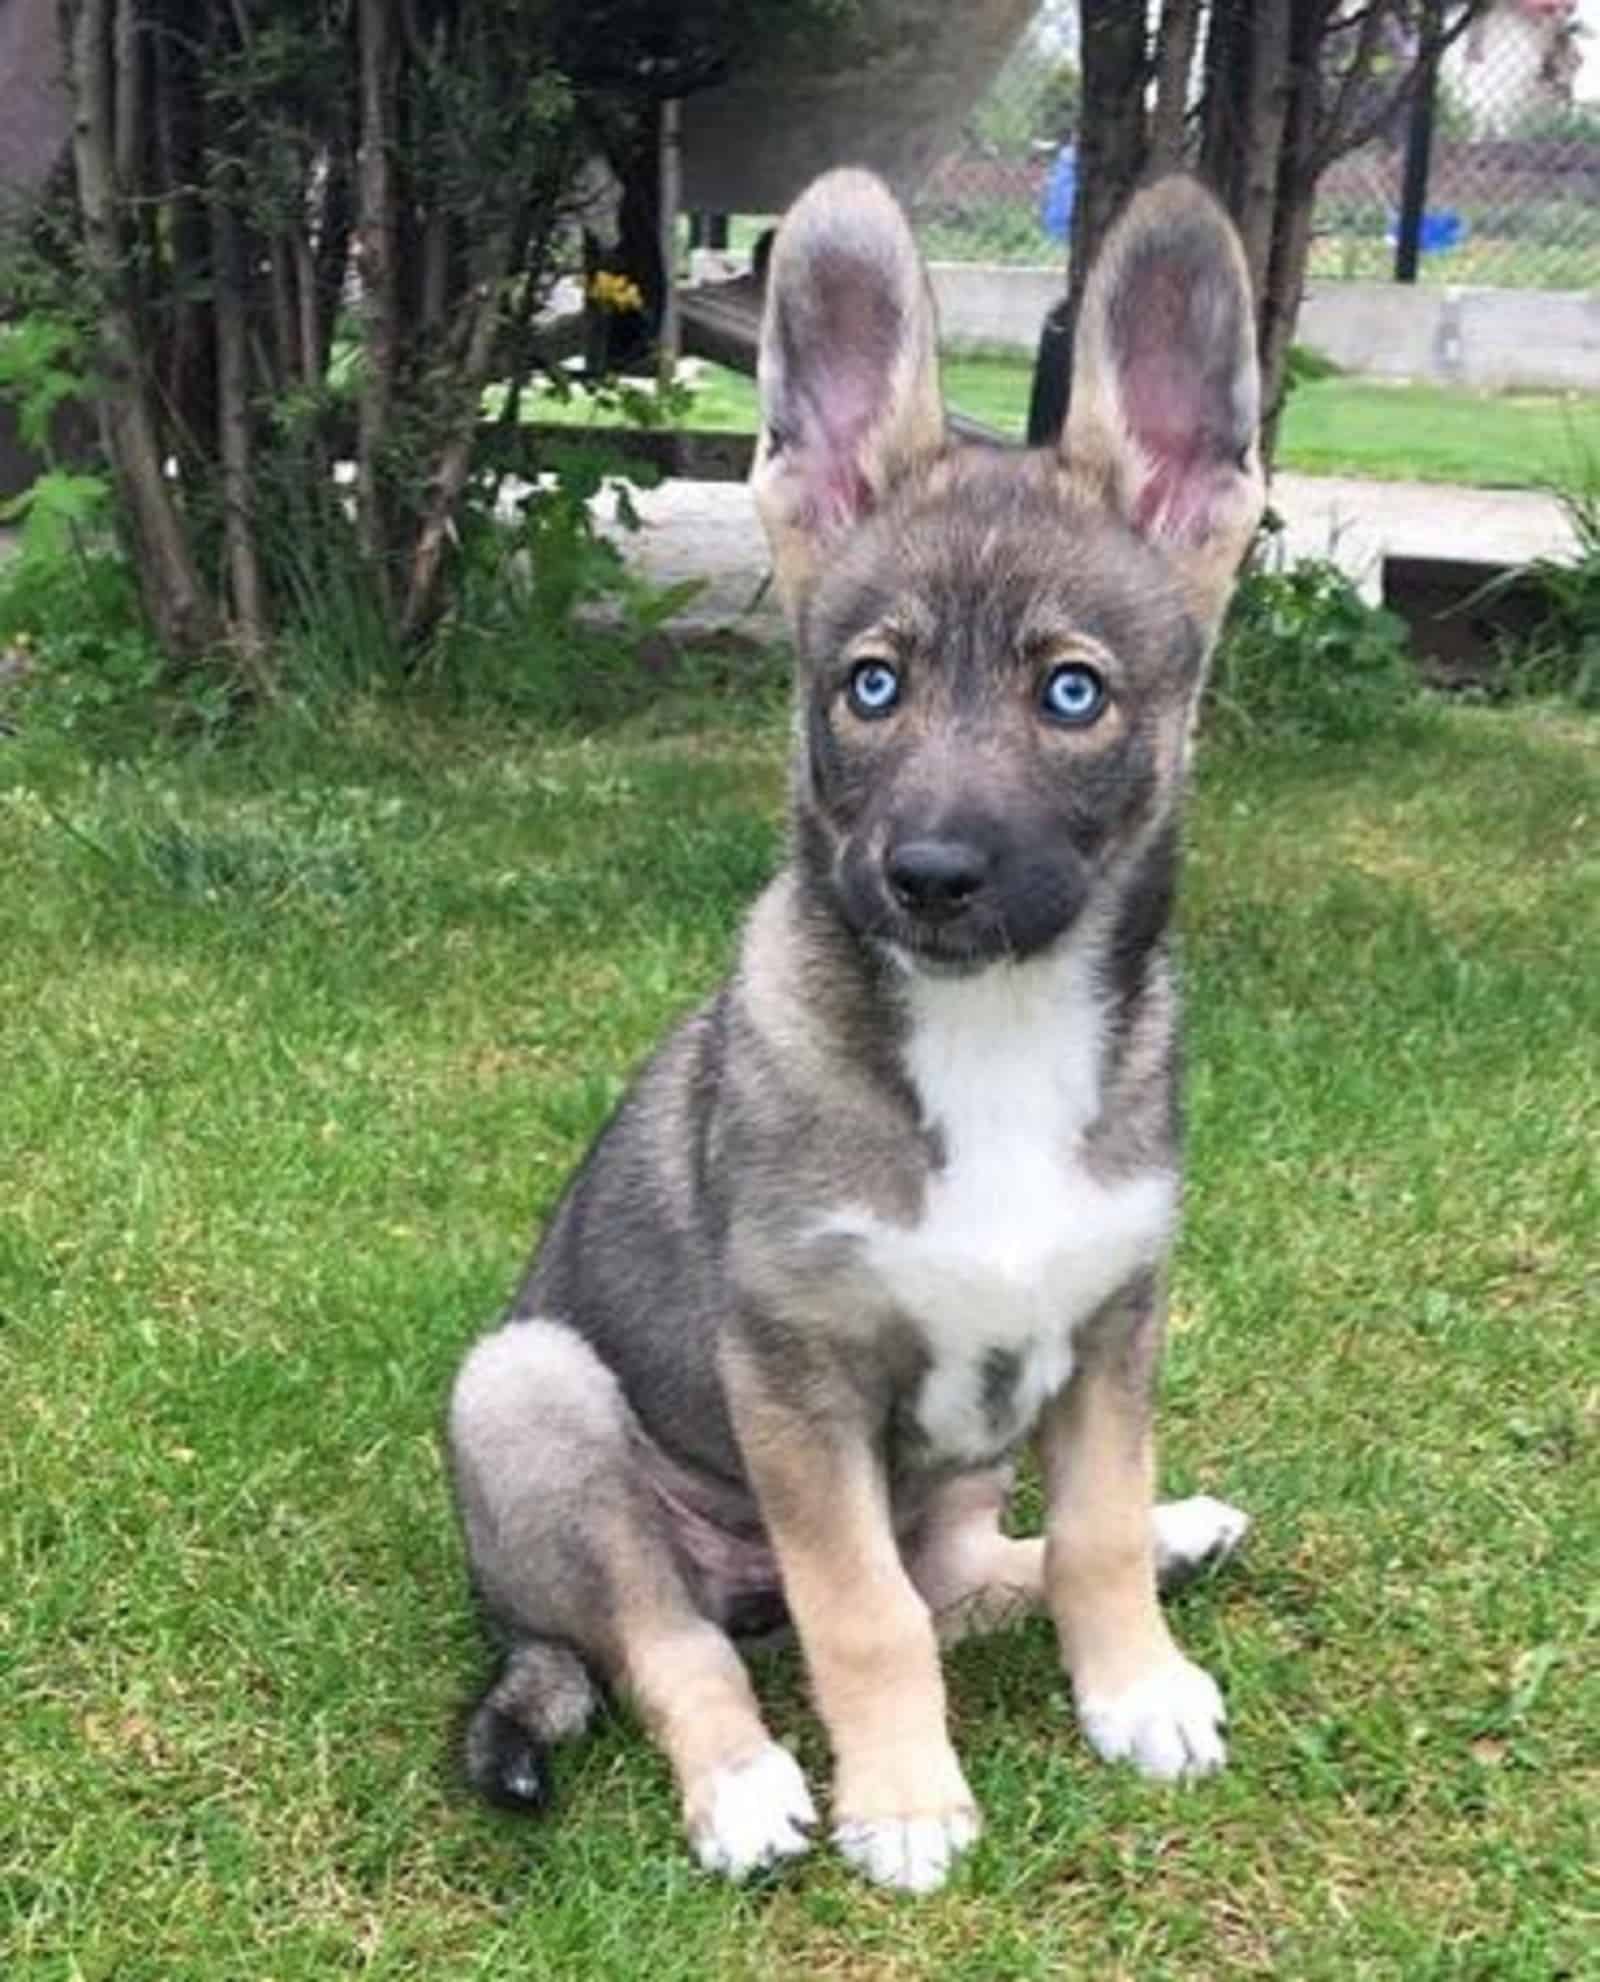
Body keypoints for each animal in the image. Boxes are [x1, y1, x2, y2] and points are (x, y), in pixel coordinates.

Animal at [448, 166, 1260, 1886]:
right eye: (869, 687)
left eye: (1073, 694)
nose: (929, 875)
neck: (993, 1031)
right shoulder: (795, 1378)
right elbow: (863, 1612)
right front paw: (902, 1794)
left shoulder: (1111, 1322)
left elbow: (1089, 1530)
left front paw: (1134, 1680)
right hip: (530, 1392)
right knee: (680, 1638)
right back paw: (744, 1780)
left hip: (966, 1453)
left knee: (973, 1569)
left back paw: (1183, 1540)